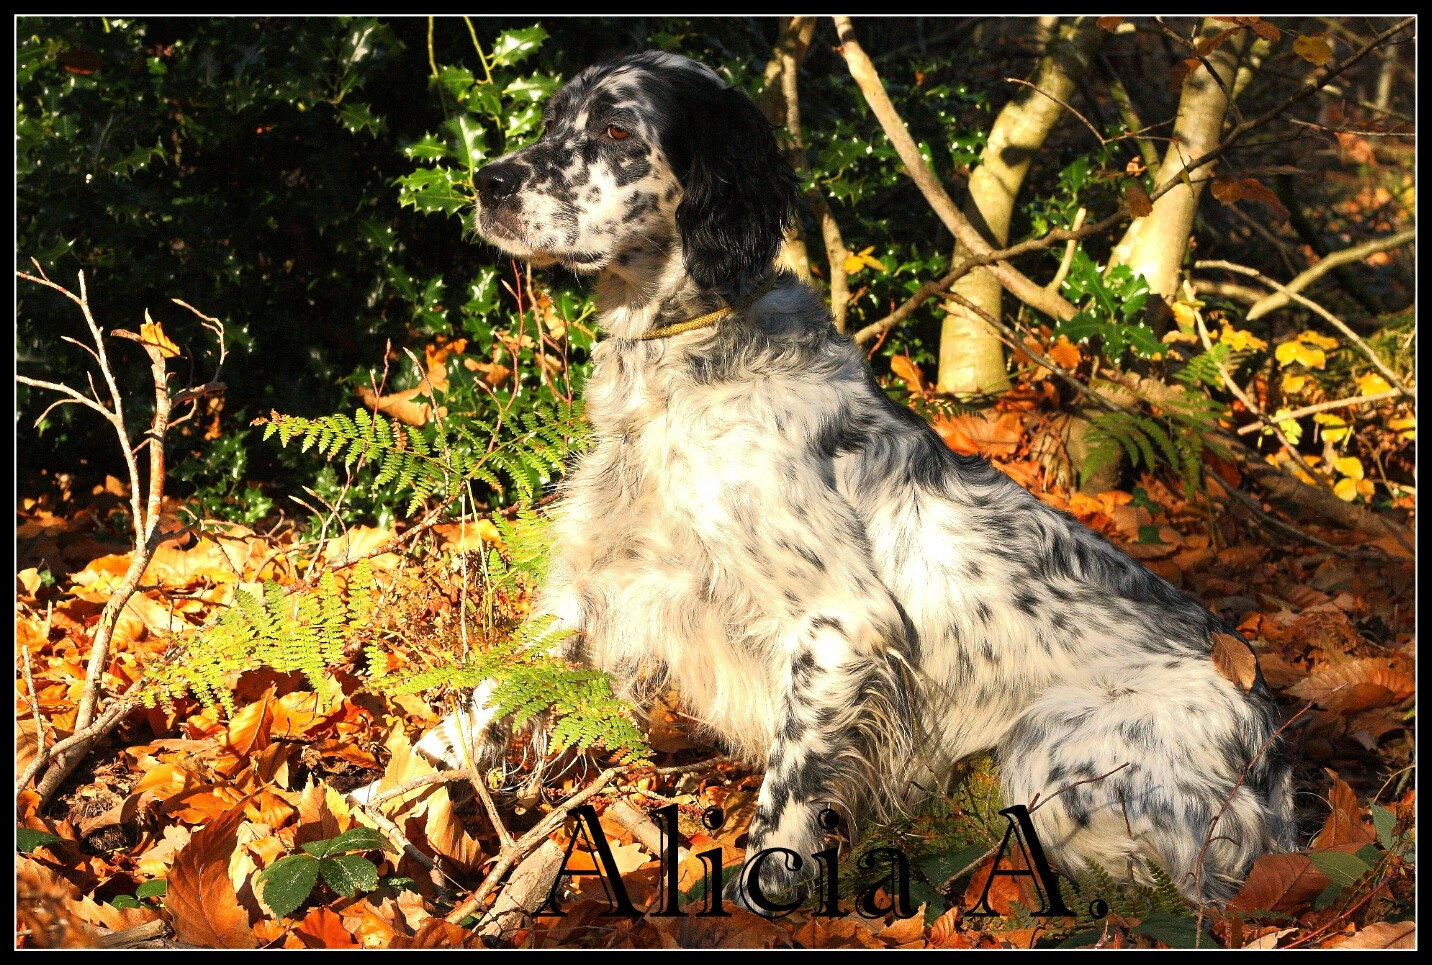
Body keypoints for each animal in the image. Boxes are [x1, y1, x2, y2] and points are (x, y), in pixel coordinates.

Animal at [418, 48, 1300, 904]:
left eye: (614, 131)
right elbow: (496, 684)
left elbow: (788, 792)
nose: (487, 181)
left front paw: (761, 898)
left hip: (1050, 752)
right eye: (552, 119)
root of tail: (1271, 754)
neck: (685, 365)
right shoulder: (598, 574)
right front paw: (419, 771)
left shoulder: (840, 624)